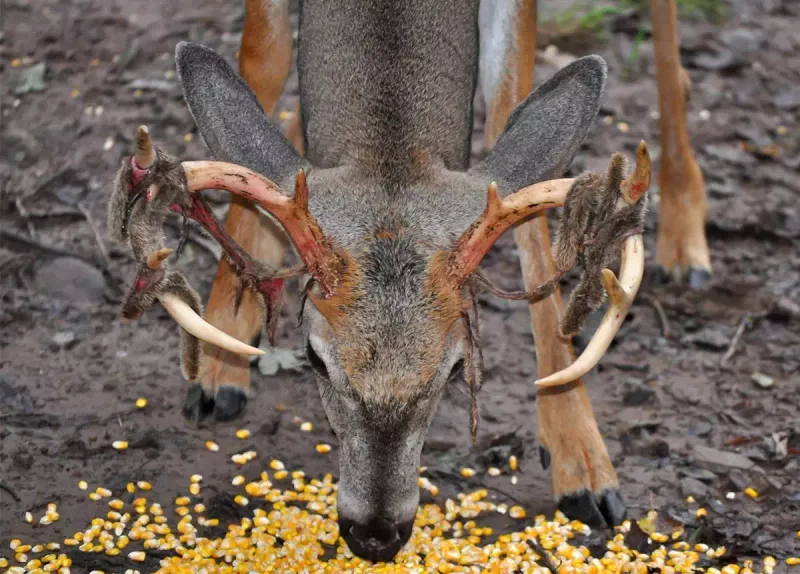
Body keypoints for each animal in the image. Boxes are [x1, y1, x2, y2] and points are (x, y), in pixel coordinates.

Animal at [107, 0, 709, 562]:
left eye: (457, 368)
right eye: (315, 359)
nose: (375, 534)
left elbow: (510, 130)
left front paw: (581, 464)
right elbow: (264, 63)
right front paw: (220, 356)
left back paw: (686, 238)